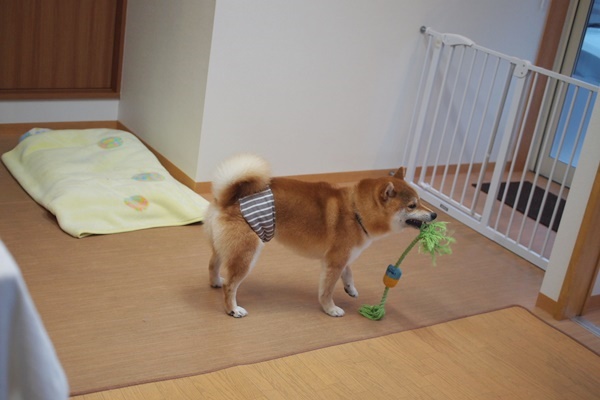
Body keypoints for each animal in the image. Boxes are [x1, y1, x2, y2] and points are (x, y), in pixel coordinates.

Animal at [205, 154, 437, 318]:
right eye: (412, 205)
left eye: (420, 201)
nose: (434, 214)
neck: (356, 211)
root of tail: (228, 197)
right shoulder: (334, 261)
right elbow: (327, 290)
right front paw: (331, 309)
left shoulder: (342, 256)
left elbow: (348, 271)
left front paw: (350, 288)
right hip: (247, 253)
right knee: (231, 285)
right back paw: (233, 309)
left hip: (226, 248)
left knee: (213, 264)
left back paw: (216, 281)